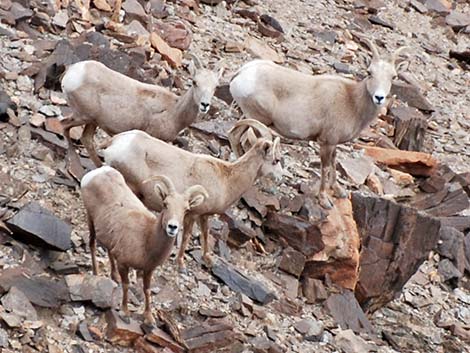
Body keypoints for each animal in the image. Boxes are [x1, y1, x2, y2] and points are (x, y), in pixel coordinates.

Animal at [81, 166, 207, 324]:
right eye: (165, 204)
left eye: (186, 209)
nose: (172, 227)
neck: (146, 239)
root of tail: (99, 172)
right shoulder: (124, 264)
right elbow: (127, 285)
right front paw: (125, 313)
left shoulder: (149, 270)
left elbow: (147, 290)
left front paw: (149, 317)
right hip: (90, 218)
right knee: (92, 244)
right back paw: (96, 274)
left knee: (109, 251)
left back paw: (114, 277)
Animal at [103, 128, 282, 270]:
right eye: (276, 160)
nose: (280, 177)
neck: (226, 180)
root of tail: (115, 143)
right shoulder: (193, 215)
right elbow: (187, 236)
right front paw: (181, 263)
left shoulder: (204, 216)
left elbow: (205, 234)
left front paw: (208, 260)